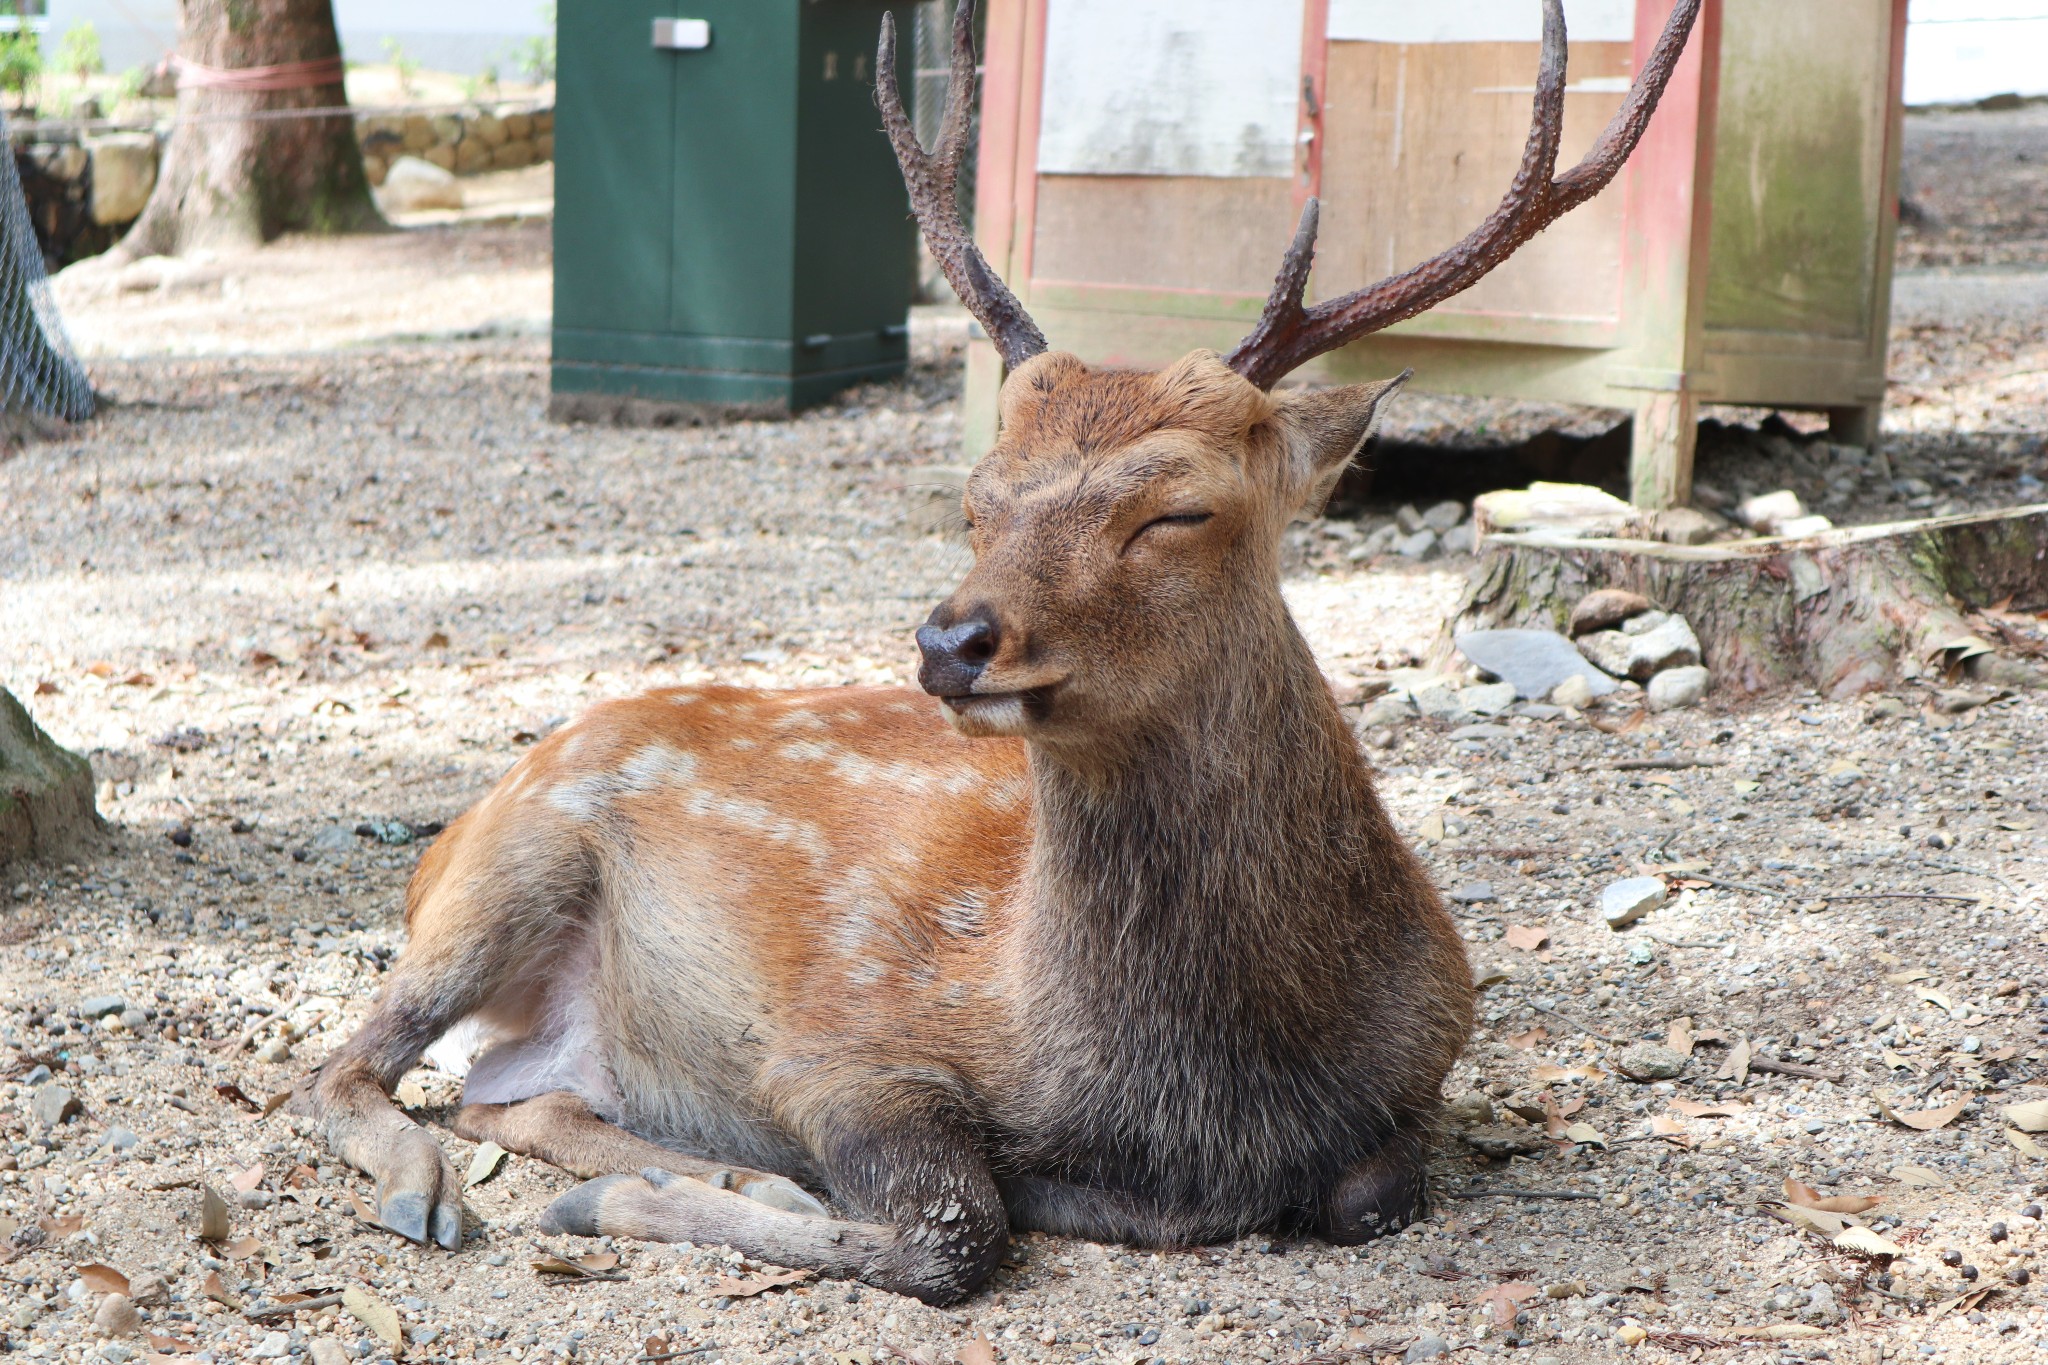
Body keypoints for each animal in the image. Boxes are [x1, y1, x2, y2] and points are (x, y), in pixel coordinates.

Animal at [288, 0, 1695, 1301]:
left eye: (1176, 510)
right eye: (977, 496)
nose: (951, 639)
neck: (1194, 1099)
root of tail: (446, 839)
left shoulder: (1428, 1061)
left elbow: (1367, 1194)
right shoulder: (838, 1047)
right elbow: (958, 1228)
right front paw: (625, 1210)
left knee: (502, 1088)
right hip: (509, 866)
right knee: (350, 1067)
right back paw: (452, 1189)